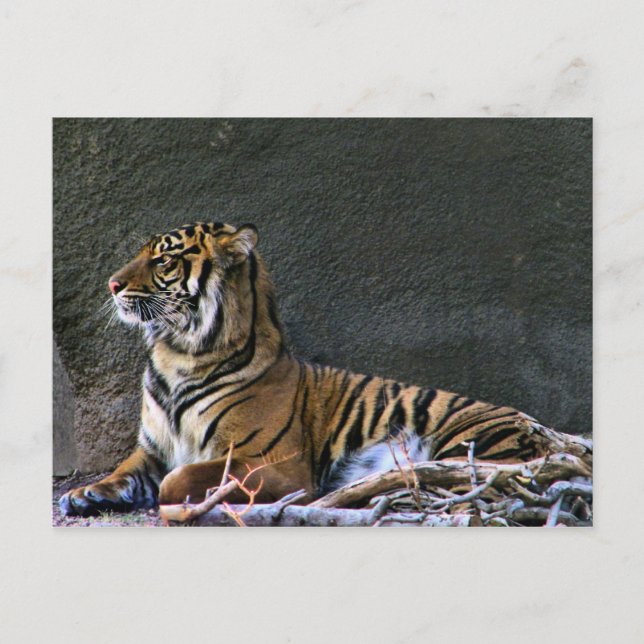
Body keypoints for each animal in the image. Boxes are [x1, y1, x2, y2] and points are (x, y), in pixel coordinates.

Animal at [59, 221, 591, 517]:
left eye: (164, 259)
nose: (111, 284)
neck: (178, 355)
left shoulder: (269, 462)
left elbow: (178, 479)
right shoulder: (151, 449)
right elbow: (122, 471)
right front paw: (82, 494)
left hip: (472, 444)